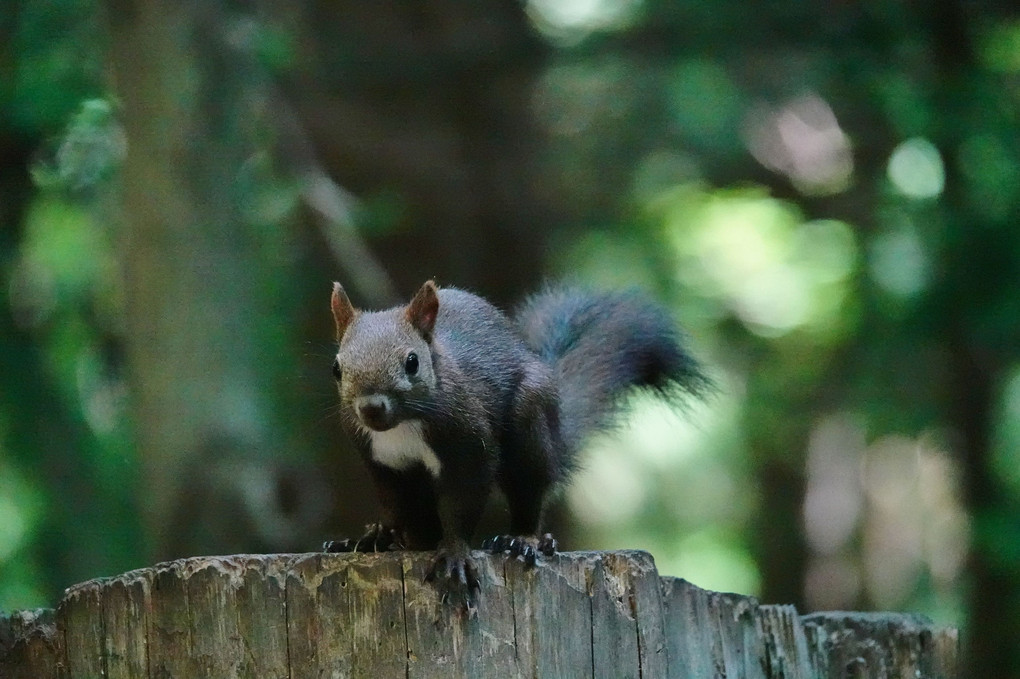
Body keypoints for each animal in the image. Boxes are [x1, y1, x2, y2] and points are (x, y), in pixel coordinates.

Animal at [322, 279, 705, 603]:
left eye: (412, 362)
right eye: (336, 368)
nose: (371, 408)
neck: (402, 427)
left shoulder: (470, 445)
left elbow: (462, 502)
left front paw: (455, 554)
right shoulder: (380, 462)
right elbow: (392, 503)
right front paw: (378, 535)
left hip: (530, 426)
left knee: (529, 491)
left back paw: (523, 539)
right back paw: (386, 538)